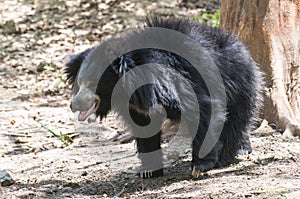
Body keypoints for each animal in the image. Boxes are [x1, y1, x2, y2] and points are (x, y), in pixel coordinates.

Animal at [65, 16, 262, 179]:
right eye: (79, 83)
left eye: (93, 83)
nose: (73, 105)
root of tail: (239, 45)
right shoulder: (138, 106)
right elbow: (145, 128)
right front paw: (148, 171)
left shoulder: (182, 80)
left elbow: (203, 108)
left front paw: (200, 166)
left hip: (237, 81)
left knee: (238, 116)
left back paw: (232, 153)